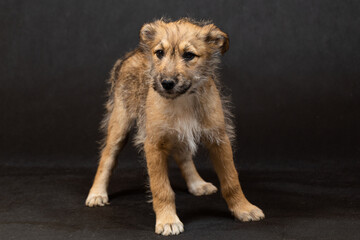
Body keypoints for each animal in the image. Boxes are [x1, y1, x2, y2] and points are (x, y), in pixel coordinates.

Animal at [84, 17, 264, 235]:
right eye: (159, 53)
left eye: (189, 55)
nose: (166, 83)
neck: (183, 99)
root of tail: (133, 52)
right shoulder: (153, 144)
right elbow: (161, 188)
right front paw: (167, 220)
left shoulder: (219, 139)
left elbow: (231, 179)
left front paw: (243, 208)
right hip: (120, 122)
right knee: (107, 157)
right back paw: (97, 193)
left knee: (183, 156)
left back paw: (197, 183)